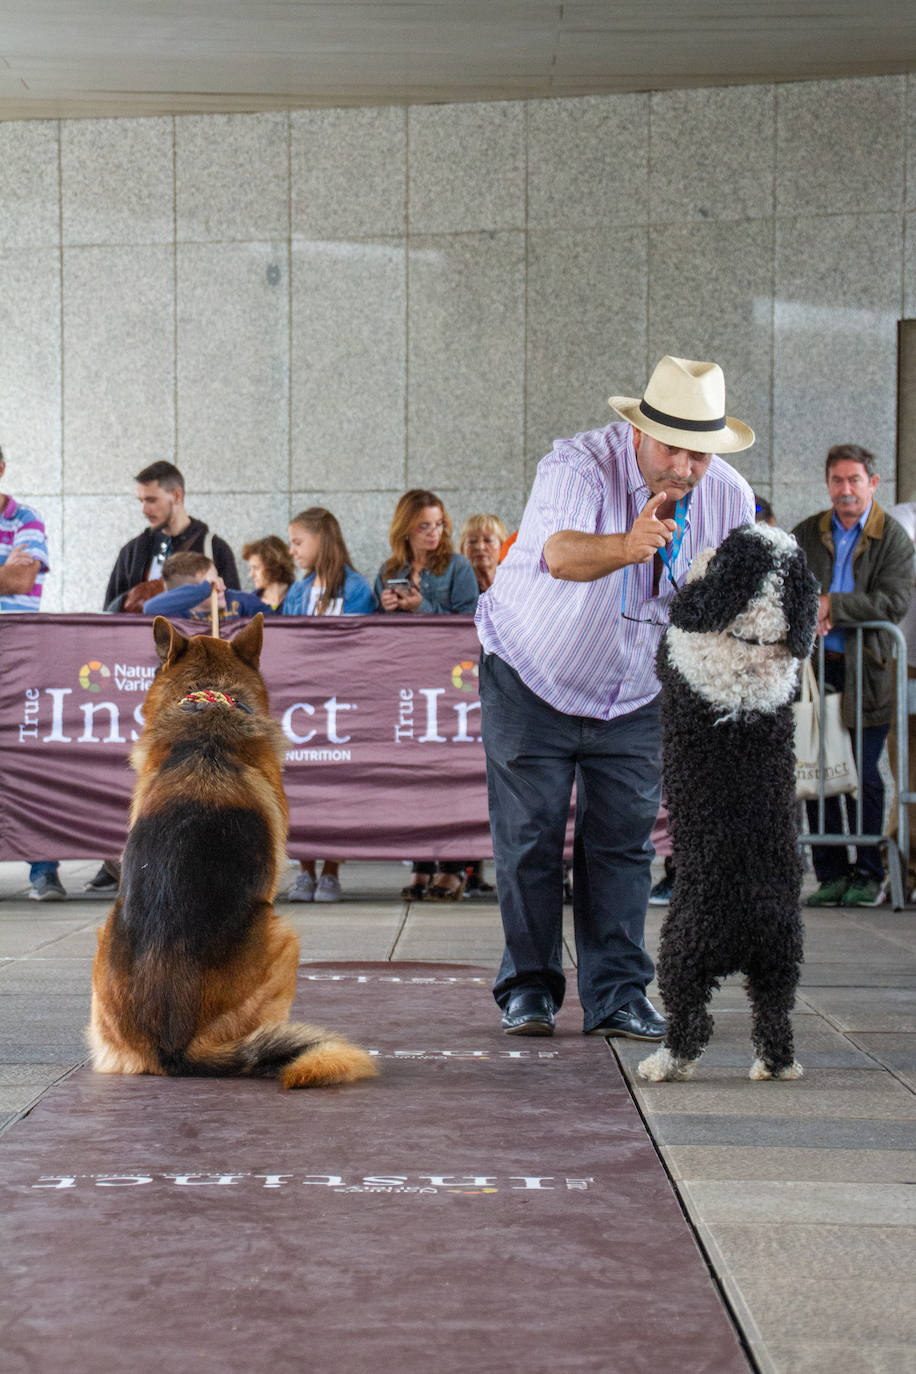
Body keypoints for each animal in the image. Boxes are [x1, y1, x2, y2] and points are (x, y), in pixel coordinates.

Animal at [637, 522, 818, 1082]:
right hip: (782, 960)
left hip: (681, 950)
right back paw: (777, 1066)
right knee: (776, 1015)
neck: (753, 637)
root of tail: (748, 921)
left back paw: (663, 1064)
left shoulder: (677, 653)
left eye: (731, 547)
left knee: (691, 1020)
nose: (709, 538)